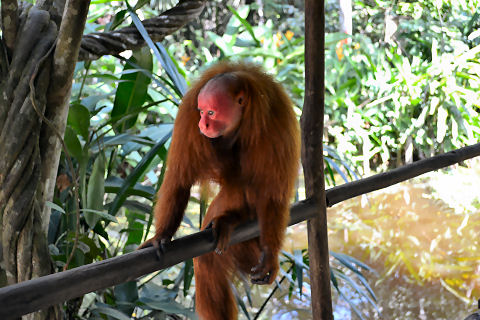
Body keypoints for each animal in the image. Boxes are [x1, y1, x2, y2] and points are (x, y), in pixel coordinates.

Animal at [140, 61, 300, 318]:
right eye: (201, 111)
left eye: (212, 113)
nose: (203, 124)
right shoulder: (188, 118)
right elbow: (179, 180)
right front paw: (161, 236)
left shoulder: (279, 124)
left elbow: (273, 195)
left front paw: (270, 254)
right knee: (206, 259)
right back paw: (230, 219)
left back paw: (236, 218)